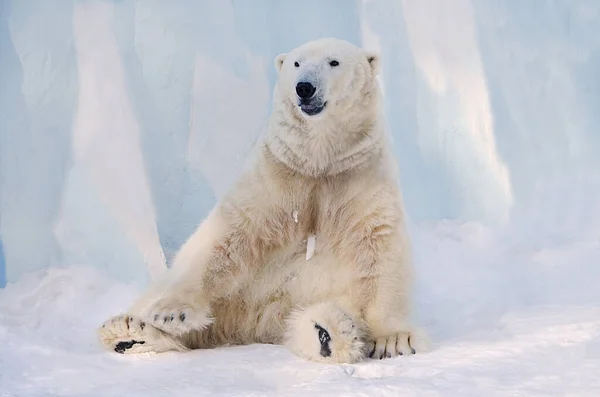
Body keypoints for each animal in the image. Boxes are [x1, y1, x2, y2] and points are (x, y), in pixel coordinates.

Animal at [98, 37, 426, 362]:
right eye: (296, 63)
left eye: (333, 62)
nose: (304, 87)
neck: (319, 163)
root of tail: (255, 324)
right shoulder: (274, 178)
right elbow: (225, 237)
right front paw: (171, 313)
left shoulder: (361, 180)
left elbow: (381, 248)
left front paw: (394, 340)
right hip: (232, 299)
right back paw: (129, 332)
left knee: (322, 318)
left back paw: (326, 333)